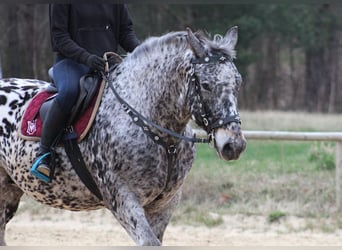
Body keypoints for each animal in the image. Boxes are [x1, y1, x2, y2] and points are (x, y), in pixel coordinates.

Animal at [0, 26, 246, 244]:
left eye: (238, 82)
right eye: (205, 85)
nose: (233, 145)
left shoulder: (165, 203)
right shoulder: (122, 198)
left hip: (9, 190)